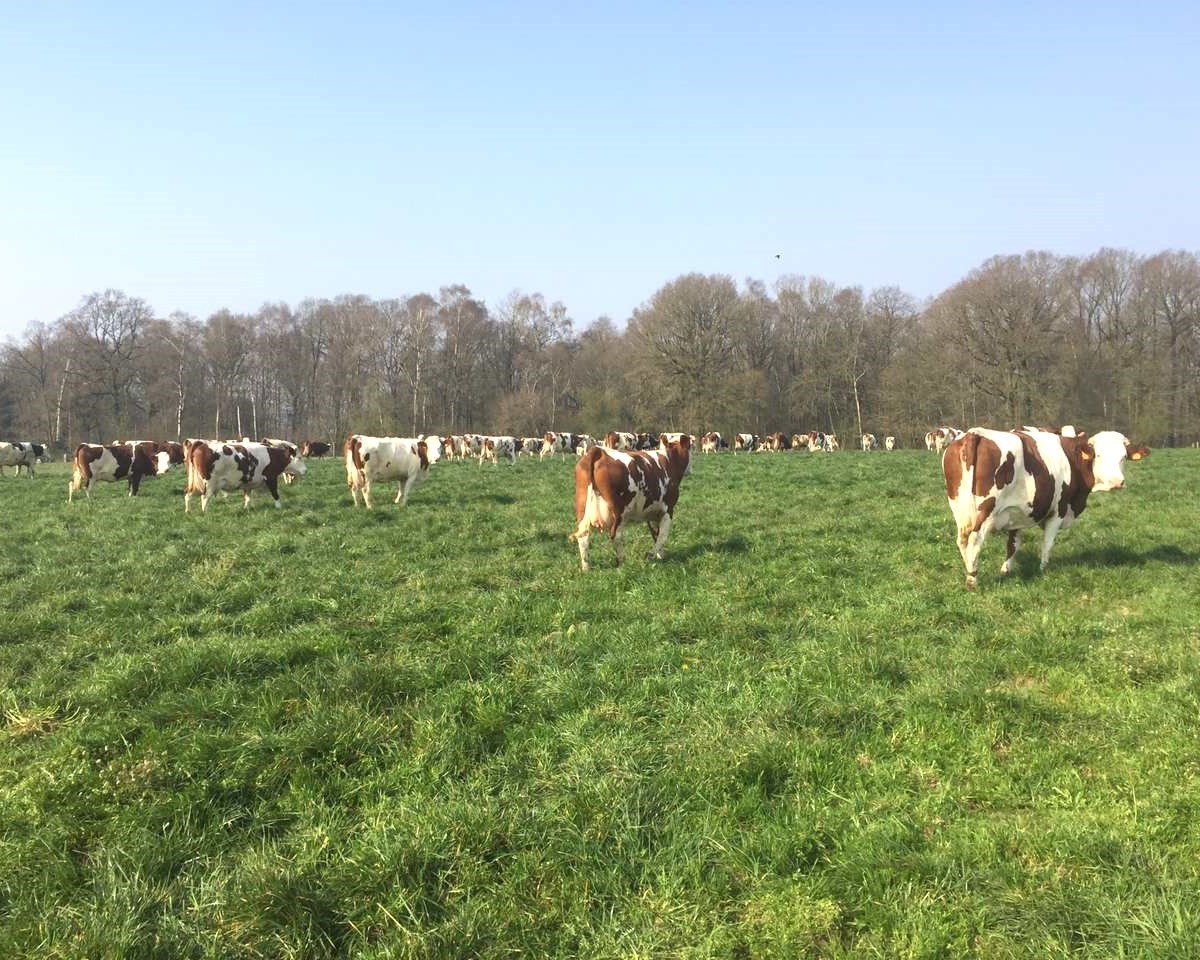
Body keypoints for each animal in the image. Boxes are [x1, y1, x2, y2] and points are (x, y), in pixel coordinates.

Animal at [569, 434, 693, 571]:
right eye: (691, 447)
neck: (670, 461)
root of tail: (598, 451)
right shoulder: (668, 509)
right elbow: (663, 535)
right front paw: (651, 554)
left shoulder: (653, 512)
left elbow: (656, 533)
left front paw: (660, 555)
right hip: (619, 512)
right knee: (616, 535)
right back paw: (622, 562)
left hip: (582, 510)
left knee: (583, 536)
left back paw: (586, 568)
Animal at [942, 427, 1148, 588]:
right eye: (1098, 455)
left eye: (1123, 457)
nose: (1117, 482)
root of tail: (975, 434)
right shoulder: (1058, 511)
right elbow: (1048, 543)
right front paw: (1043, 569)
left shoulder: (1016, 512)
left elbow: (1013, 545)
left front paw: (1006, 571)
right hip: (986, 511)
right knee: (975, 540)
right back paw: (972, 580)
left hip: (959, 508)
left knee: (962, 540)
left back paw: (970, 569)